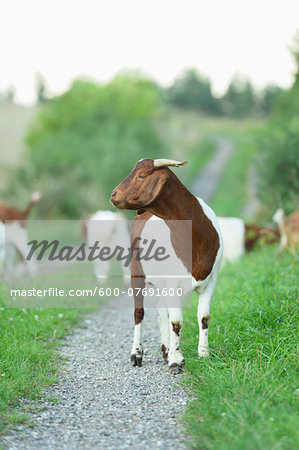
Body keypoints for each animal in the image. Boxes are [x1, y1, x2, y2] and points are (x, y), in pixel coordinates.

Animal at [111, 157, 224, 372]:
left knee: (161, 310)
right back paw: (136, 354)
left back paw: (165, 350)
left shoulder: (211, 280)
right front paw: (176, 361)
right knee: (139, 313)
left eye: (141, 175)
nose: (114, 194)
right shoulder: (173, 283)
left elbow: (203, 317)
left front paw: (203, 355)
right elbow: (176, 322)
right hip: (137, 273)